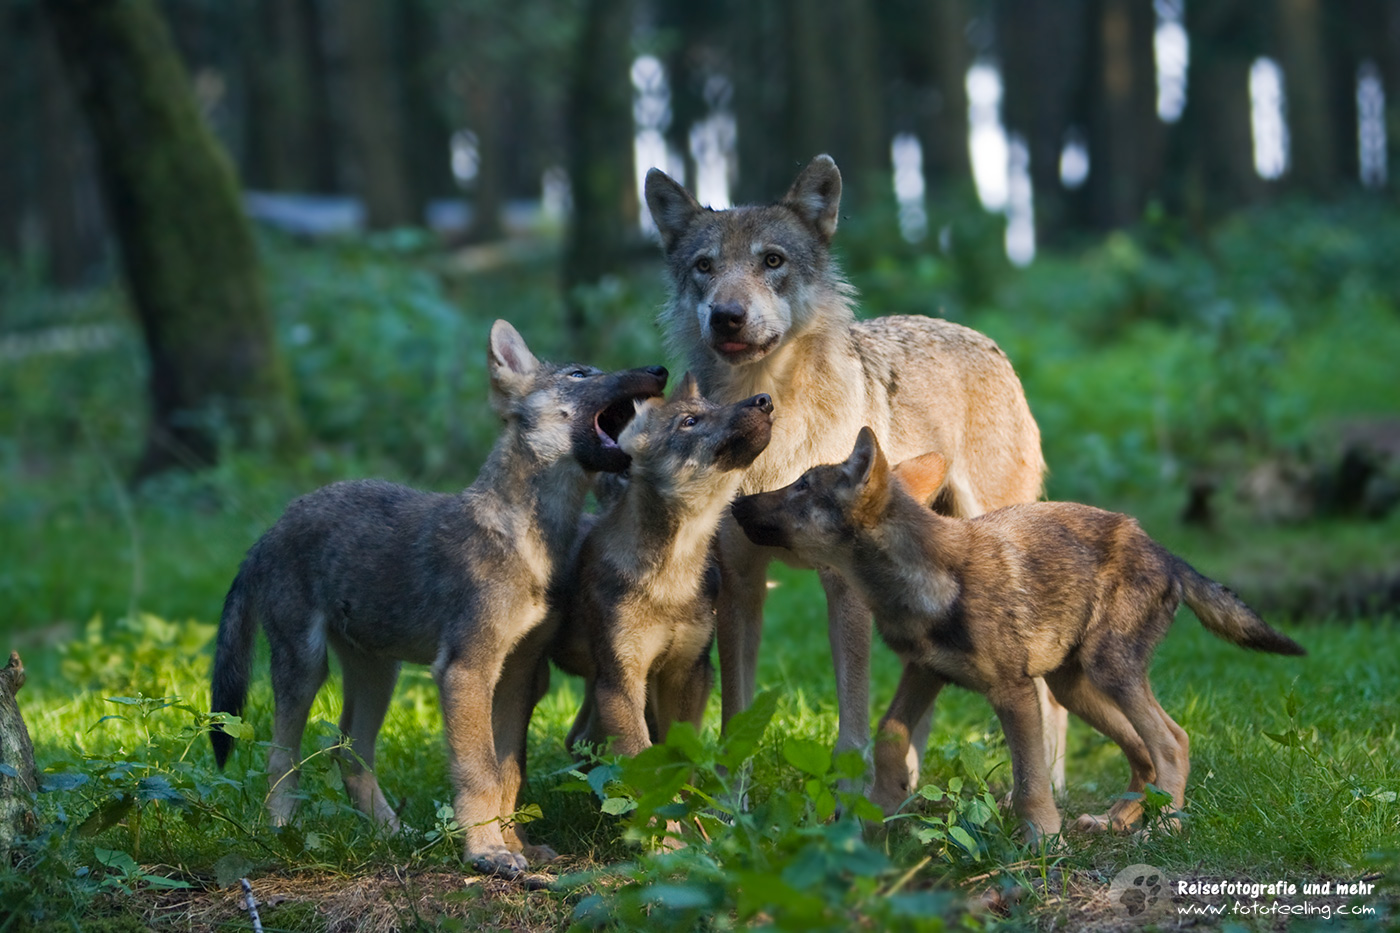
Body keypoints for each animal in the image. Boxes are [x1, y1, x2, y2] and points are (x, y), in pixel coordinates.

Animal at [209, 320, 666, 874]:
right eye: (580, 374)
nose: (660, 369)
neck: (534, 541)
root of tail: (270, 528)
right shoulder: (465, 670)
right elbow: (479, 772)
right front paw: (487, 852)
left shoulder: (518, 675)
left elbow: (508, 773)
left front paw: (515, 847)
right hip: (305, 667)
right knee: (282, 756)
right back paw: (281, 833)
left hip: (379, 673)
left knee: (347, 750)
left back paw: (392, 834)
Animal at [550, 374, 773, 756]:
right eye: (689, 422)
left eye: (715, 406)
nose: (765, 400)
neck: (671, 574)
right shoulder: (622, 679)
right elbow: (640, 757)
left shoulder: (686, 672)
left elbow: (678, 758)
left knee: (579, 738)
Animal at [643, 155, 1062, 792]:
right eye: (704, 267)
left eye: (772, 261)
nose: (727, 316)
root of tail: (984, 340)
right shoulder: (740, 585)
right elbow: (736, 720)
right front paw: (732, 805)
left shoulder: (843, 587)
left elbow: (852, 726)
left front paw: (846, 802)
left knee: (1049, 692)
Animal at [731, 428, 1306, 844]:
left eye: (801, 487)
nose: (736, 504)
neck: (923, 580)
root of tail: (1168, 554)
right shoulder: (925, 671)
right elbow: (892, 735)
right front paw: (884, 807)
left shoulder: (1012, 693)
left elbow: (1030, 782)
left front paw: (1042, 845)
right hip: (1073, 688)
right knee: (1142, 753)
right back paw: (1116, 823)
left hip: (1107, 674)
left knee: (1172, 742)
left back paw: (1164, 828)